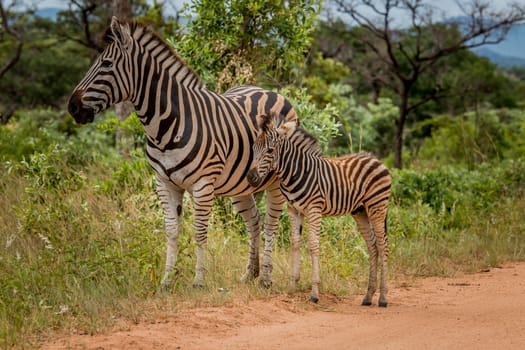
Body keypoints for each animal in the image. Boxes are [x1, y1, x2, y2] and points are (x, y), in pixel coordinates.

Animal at [246, 113, 388, 306]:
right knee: (373, 246)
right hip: (360, 211)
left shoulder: (314, 209)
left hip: (377, 207)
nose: (250, 177)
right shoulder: (294, 209)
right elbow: (295, 243)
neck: (296, 172)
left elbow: (313, 245)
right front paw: (292, 286)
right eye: (254, 148)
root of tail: (376, 159)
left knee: (382, 246)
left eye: (269, 150)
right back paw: (367, 296)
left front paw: (314, 292)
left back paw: (383, 297)